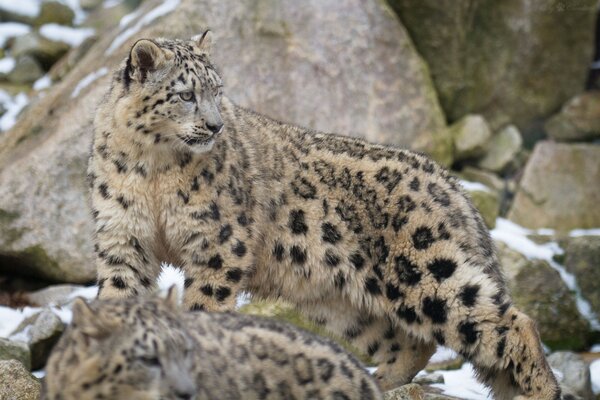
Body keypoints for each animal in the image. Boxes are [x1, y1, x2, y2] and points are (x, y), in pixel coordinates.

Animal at [89, 32, 564, 400]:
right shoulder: (123, 237)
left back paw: (539, 390)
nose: (215, 125)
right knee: (411, 341)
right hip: (340, 301)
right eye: (186, 94)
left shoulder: (218, 243)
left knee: (508, 322)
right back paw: (379, 382)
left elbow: (205, 306)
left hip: (423, 270)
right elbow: (119, 297)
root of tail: (453, 186)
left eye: (217, 90)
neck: (152, 170)